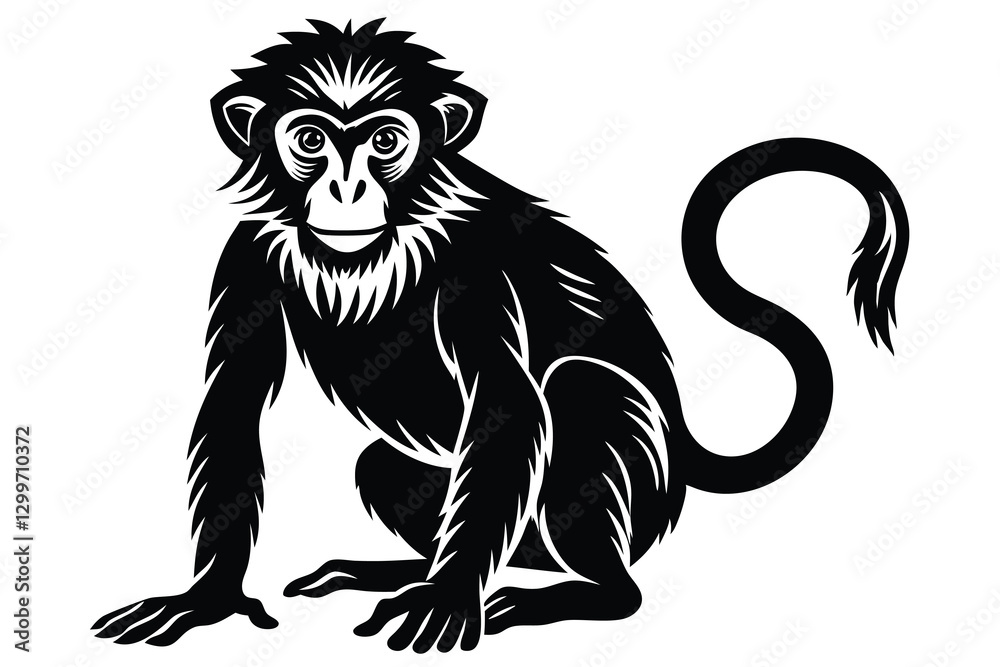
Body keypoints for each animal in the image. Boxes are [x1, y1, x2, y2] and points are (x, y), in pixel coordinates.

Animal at [92, 19, 909, 652]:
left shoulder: (475, 265)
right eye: (311, 139)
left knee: (581, 390)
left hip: (639, 498)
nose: (348, 189)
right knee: (382, 466)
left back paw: (585, 591)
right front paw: (208, 599)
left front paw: (449, 596)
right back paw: (412, 570)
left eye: (385, 141)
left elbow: (511, 402)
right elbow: (235, 401)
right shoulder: (248, 257)